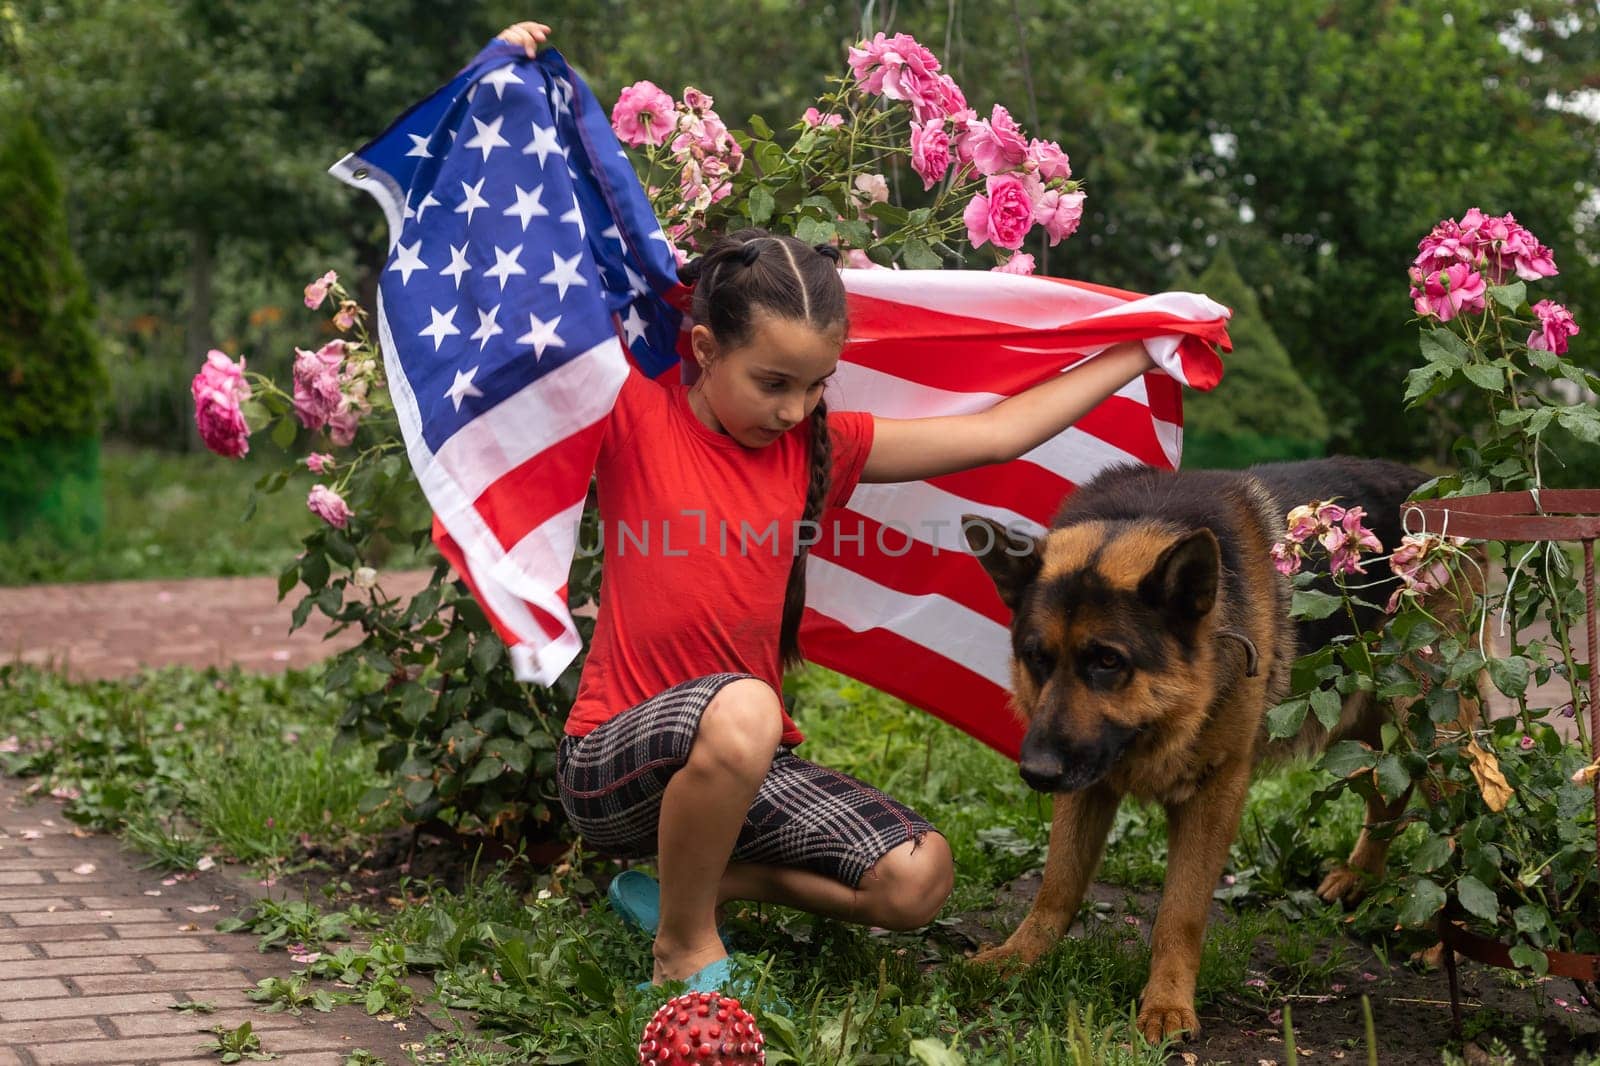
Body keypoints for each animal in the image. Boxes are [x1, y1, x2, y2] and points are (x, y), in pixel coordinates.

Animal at [960, 454, 1427, 1037]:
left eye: (1108, 661)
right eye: (1036, 658)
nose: (1037, 774)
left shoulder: (1214, 791)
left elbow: (1179, 911)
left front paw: (1166, 1003)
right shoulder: (1085, 783)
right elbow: (1058, 882)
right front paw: (1022, 954)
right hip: (1361, 730)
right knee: (1392, 788)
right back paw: (1360, 875)